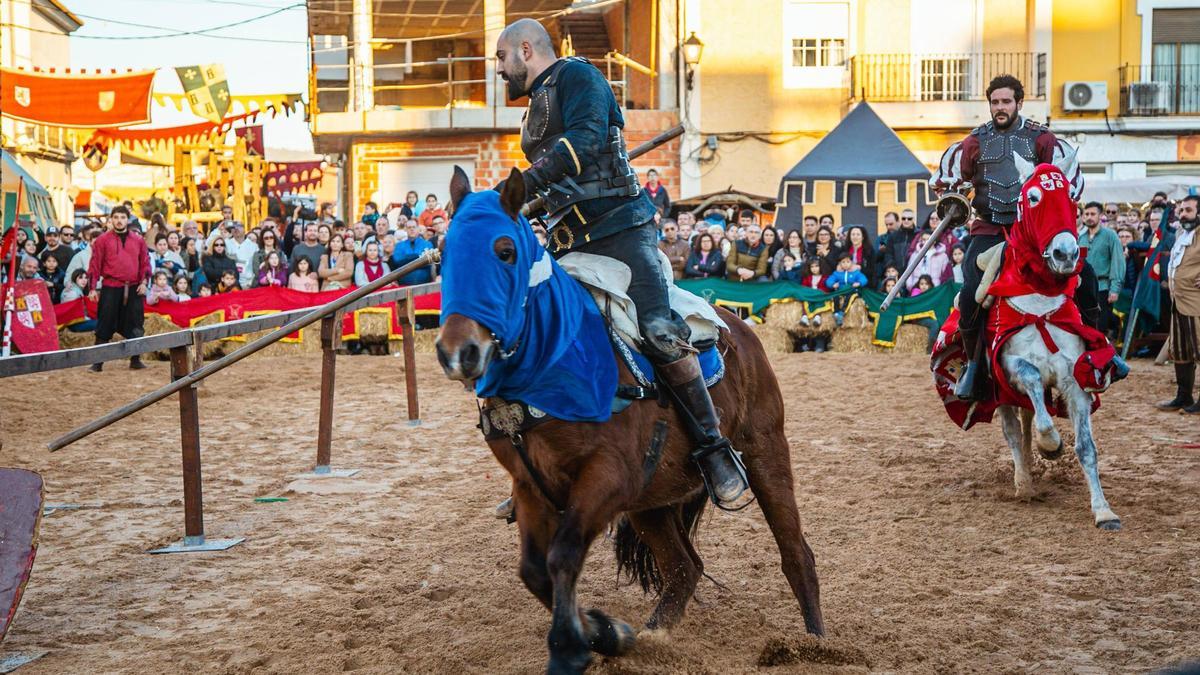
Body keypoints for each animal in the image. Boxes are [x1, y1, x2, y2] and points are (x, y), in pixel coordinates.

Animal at [439, 165, 825, 667]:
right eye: (446, 252)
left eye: (505, 251)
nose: (458, 352)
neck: (554, 359)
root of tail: (739, 327)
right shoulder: (530, 487)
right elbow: (535, 571)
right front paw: (605, 634)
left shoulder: (607, 478)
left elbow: (562, 557)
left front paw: (573, 646)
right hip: (653, 501)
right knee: (684, 568)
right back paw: (651, 638)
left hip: (765, 452)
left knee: (795, 553)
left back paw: (818, 644)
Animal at [984, 152, 1123, 530]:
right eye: (1033, 198)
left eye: (1071, 197)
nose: (1066, 254)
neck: (1039, 302)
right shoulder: (1009, 365)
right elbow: (1036, 395)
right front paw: (1051, 445)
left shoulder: (1076, 379)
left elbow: (1087, 448)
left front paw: (1103, 510)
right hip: (1000, 392)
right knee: (1014, 431)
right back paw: (1024, 483)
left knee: (1027, 421)